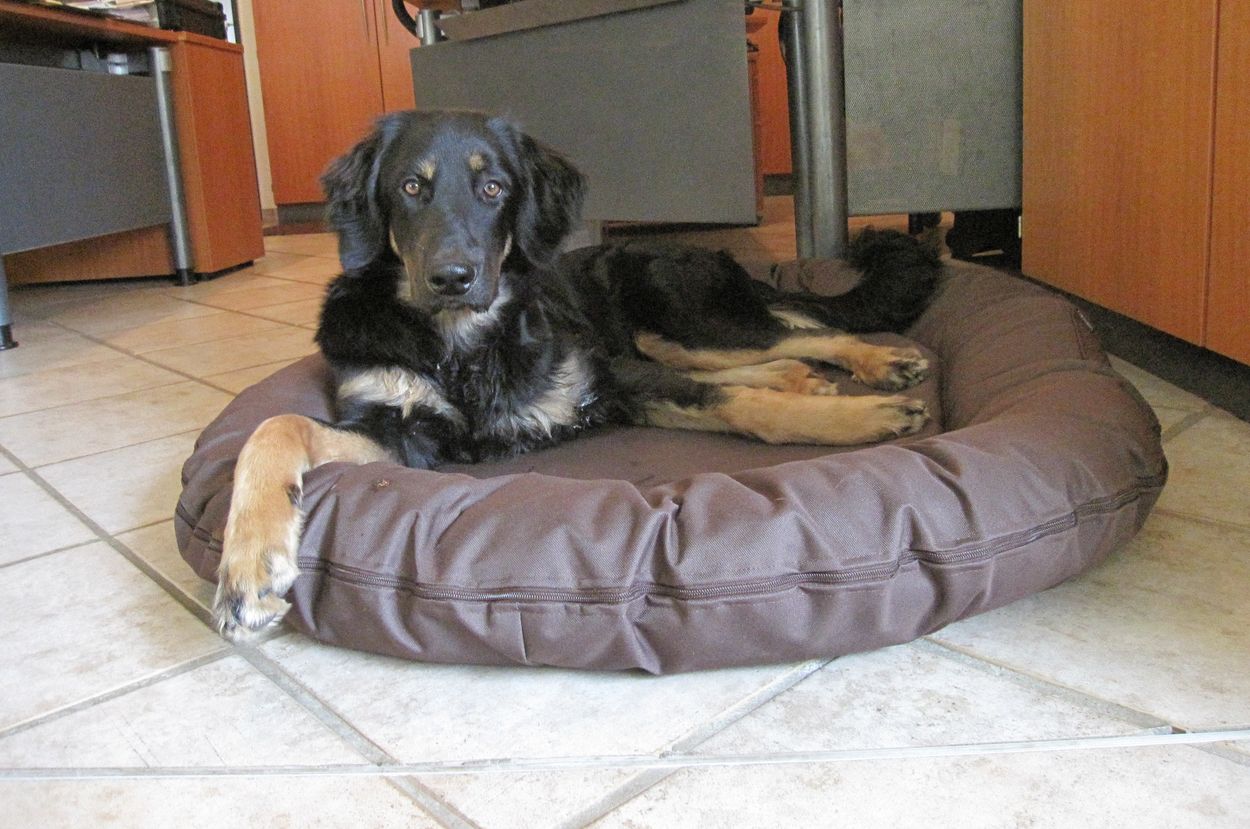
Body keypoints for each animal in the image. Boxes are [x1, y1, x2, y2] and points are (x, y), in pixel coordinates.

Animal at [212, 110, 942, 640]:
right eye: (410, 188)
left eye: (493, 188)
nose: (452, 278)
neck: (464, 345)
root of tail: (715, 255)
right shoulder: (403, 430)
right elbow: (273, 426)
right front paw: (249, 567)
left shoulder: (607, 376)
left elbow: (736, 404)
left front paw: (863, 417)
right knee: (784, 351)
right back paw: (807, 377)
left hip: (676, 318)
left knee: (805, 332)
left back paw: (881, 363)